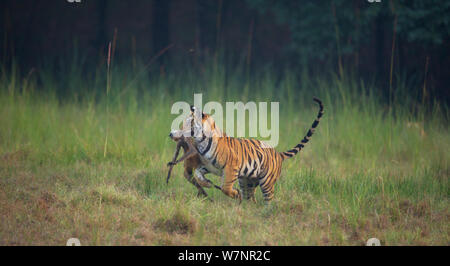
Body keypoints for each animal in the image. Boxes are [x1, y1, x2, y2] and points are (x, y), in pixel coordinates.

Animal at [171, 98, 324, 203]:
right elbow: (198, 174)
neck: (201, 142)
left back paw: (266, 212)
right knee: (251, 198)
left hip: (266, 182)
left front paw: (234, 194)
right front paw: (207, 184)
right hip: (247, 181)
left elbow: (226, 187)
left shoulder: (231, 167)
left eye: (188, 123)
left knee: (269, 199)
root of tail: (278, 153)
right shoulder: (208, 166)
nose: (171, 134)